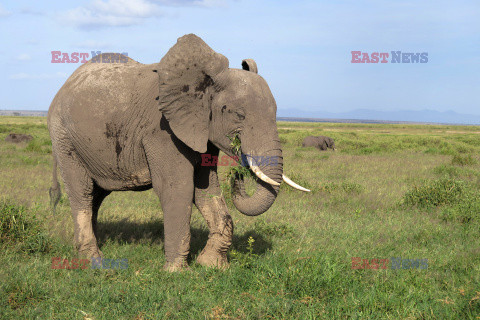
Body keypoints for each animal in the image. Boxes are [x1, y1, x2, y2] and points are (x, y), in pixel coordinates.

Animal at [48, 34, 310, 270]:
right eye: (239, 115)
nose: (238, 174)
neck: (204, 82)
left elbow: (207, 190)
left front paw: (213, 266)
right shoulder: (162, 131)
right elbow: (178, 188)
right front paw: (176, 272)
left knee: (97, 195)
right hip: (64, 137)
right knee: (82, 191)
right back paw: (94, 261)